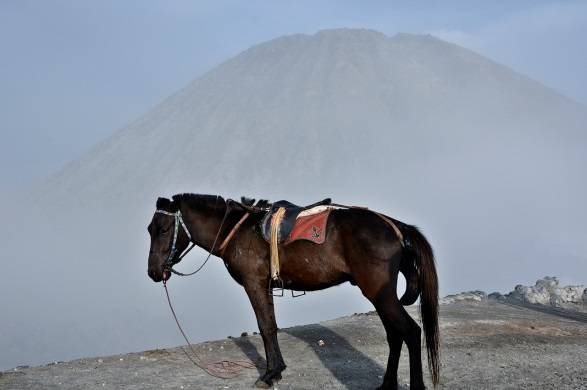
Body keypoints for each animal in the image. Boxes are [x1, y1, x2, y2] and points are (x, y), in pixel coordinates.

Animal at [148, 193, 440, 388]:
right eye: (150, 229)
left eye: (163, 229)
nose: (153, 272)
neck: (238, 230)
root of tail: (396, 226)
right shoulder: (264, 285)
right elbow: (271, 325)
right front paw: (277, 369)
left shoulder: (254, 284)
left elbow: (266, 327)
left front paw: (269, 374)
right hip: (380, 296)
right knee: (395, 336)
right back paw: (386, 384)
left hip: (381, 295)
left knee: (411, 333)